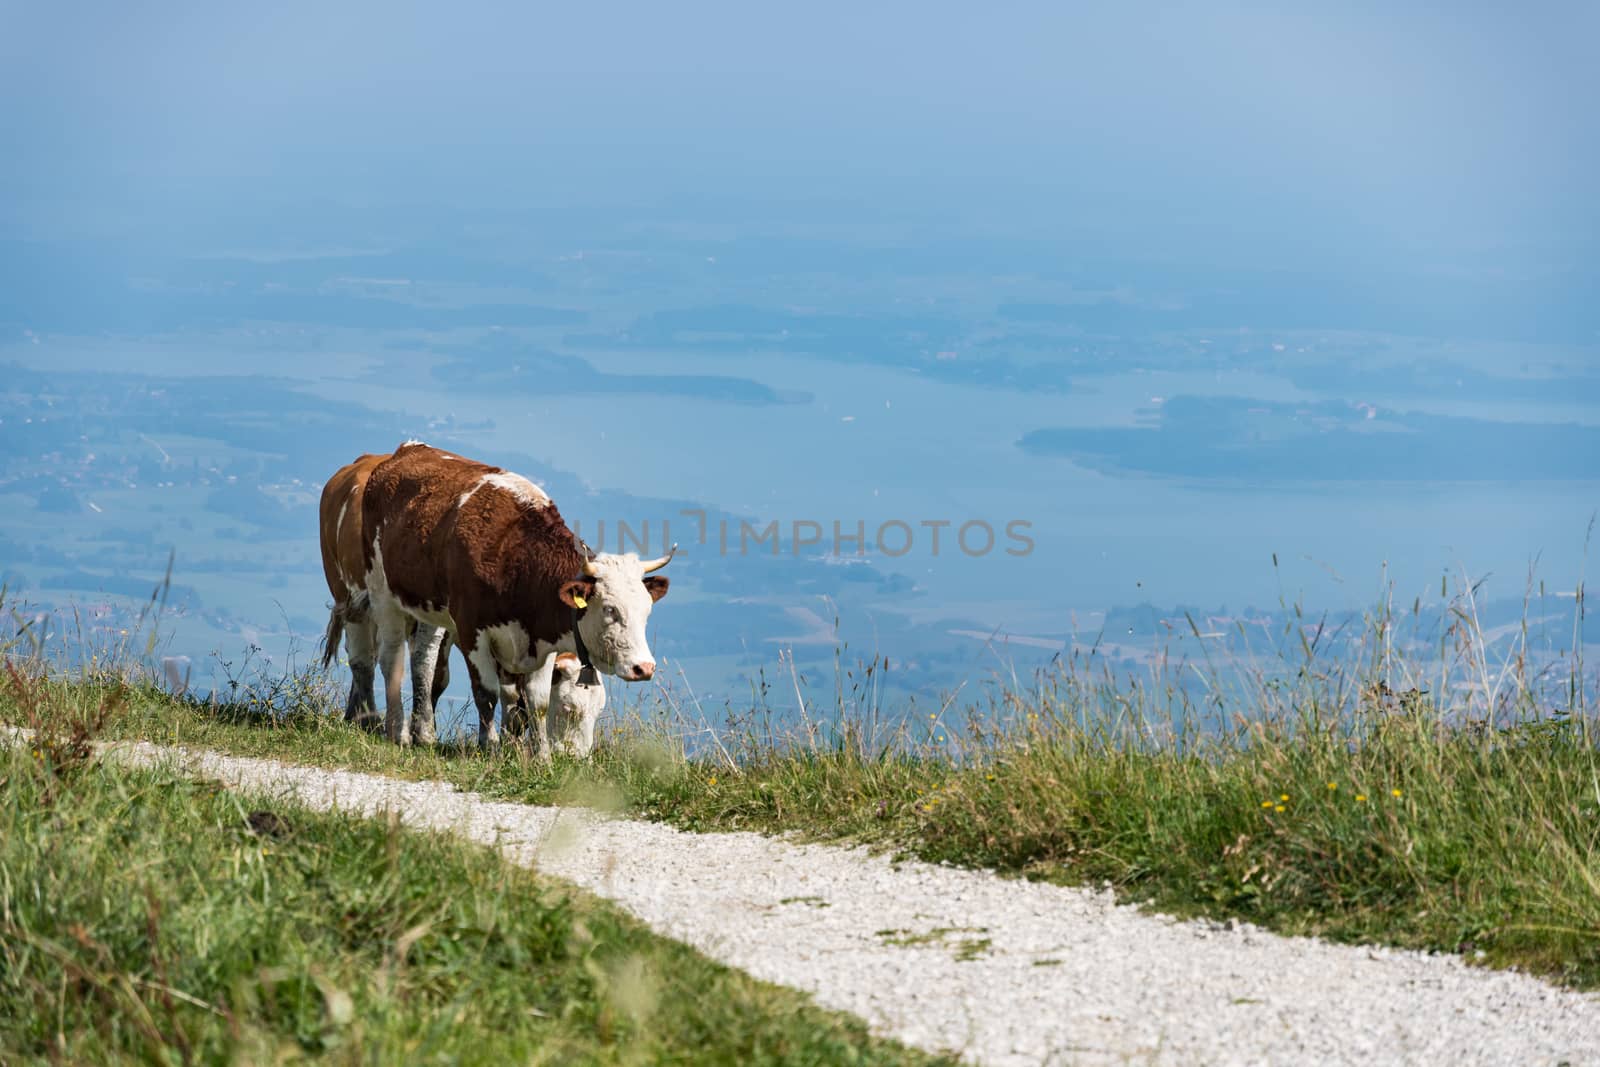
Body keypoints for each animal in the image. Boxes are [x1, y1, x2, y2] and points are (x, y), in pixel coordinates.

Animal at [350, 441, 675, 751]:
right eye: (610, 609)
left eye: (646, 611)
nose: (644, 668)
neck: (516, 558)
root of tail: (407, 450)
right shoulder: (472, 632)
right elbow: (486, 694)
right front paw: (490, 746)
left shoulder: (540, 641)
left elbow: (535, 702)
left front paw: (540, 756)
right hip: (382, 592)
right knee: (391, 659)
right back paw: (397, 731)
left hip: (428, 609)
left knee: (424, 663)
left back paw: (424, 733)